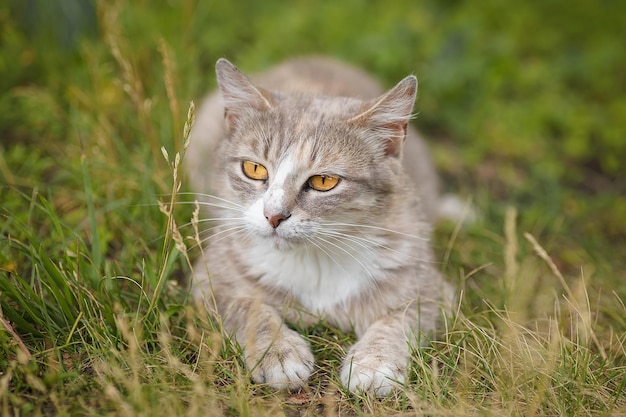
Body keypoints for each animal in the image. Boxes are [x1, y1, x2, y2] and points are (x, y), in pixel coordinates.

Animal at [184, 56, 454, 396]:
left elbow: (401, 318)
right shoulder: (211, 280)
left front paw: (375, 361)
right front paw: (278, 352)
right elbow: (247, 308)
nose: (273, 215)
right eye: (254, 169)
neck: (315, 259)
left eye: (324, 181)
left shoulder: (430, 287)